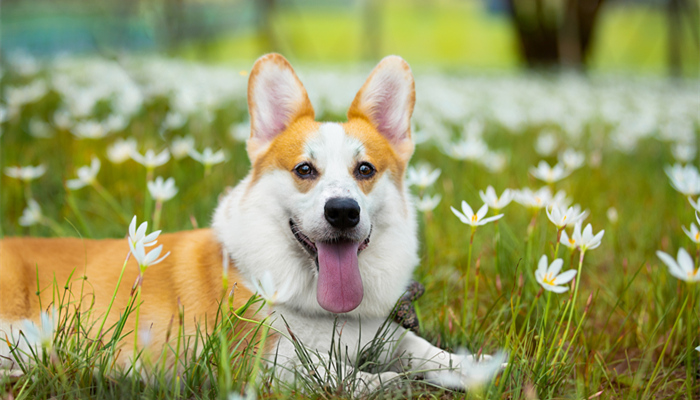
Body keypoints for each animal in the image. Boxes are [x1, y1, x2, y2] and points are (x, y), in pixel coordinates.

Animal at [0, 53, 492, 394]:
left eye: (365, 170)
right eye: (304, 170)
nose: (342, 212)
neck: (323, 309)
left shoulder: (384, 333)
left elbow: (426, 351)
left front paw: (477, 367)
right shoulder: (257, 356)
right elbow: (323, 367)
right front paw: (381, 383)